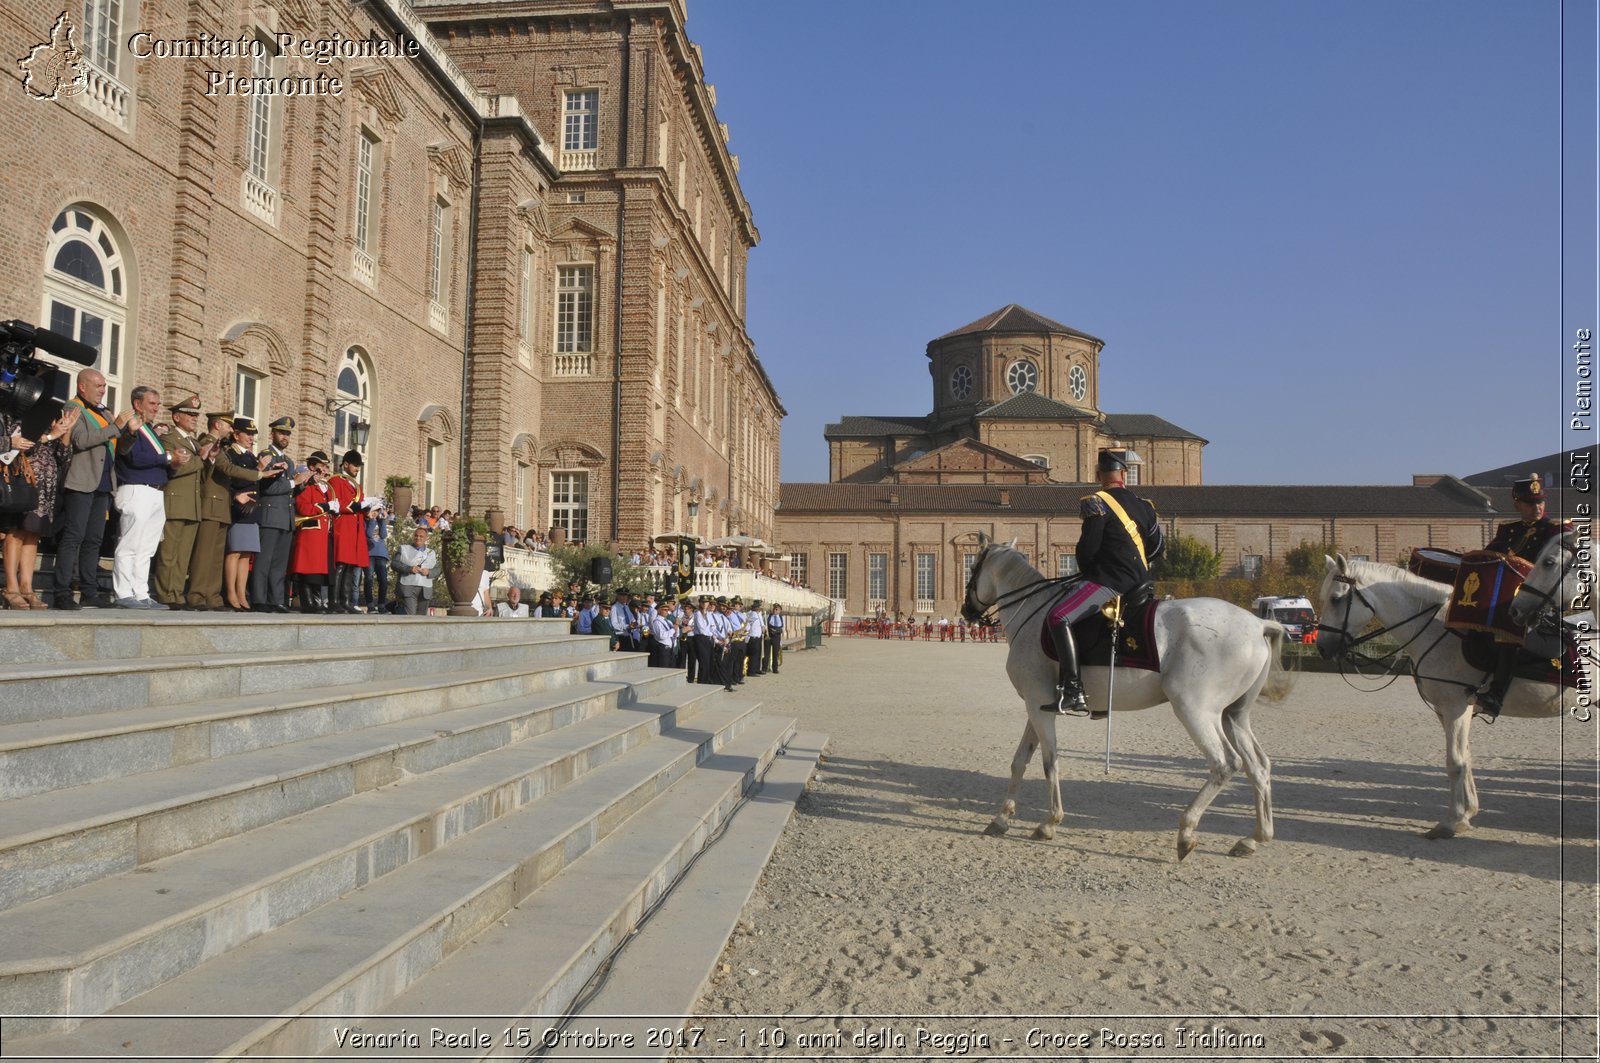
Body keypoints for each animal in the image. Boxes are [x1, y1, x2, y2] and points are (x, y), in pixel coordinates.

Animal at [960, 534, 1286, 858]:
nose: (966, 611)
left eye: (972, 568)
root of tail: (1258, 624)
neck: (1034, 611)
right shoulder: (1038, 705)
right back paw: (1254, 838)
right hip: (1234, 716)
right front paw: (1001, 818)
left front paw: (1049, 822)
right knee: (1258, 766)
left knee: (1224, 763)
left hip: (1195, 710)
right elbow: (1020, 760)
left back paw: (1187, 830)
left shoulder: (1038, 706)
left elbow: (1049, 762)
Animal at [1312, 557, 1587, 838]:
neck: (1437, 630)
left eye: (1335, 599)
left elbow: (1455, 762)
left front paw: (1451, 821)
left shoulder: (1456, 707)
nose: (1322, 647)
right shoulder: (1446, 711)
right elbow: (1465, 758)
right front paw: (1467, 813)